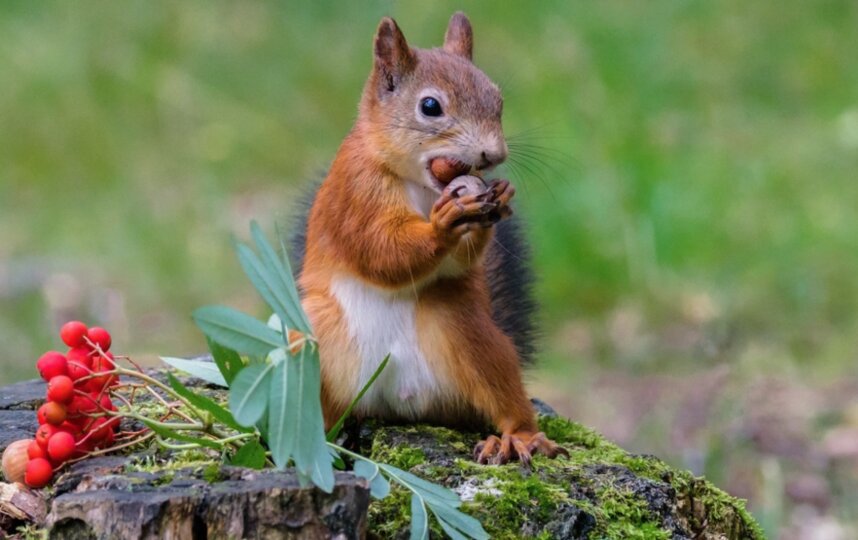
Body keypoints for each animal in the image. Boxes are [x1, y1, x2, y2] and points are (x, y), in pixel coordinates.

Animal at [290, 12, 564, 464]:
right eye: (430, 107)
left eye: (497, 100)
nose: (494, 155)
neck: (420, 185)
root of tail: (395, 404)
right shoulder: (354, 195)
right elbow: (380, 250)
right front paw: (442, 224)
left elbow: (457, 260)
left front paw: (497, 197)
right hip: (313, 339)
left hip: (468, 331)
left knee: (498, 395)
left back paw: (517, 437)